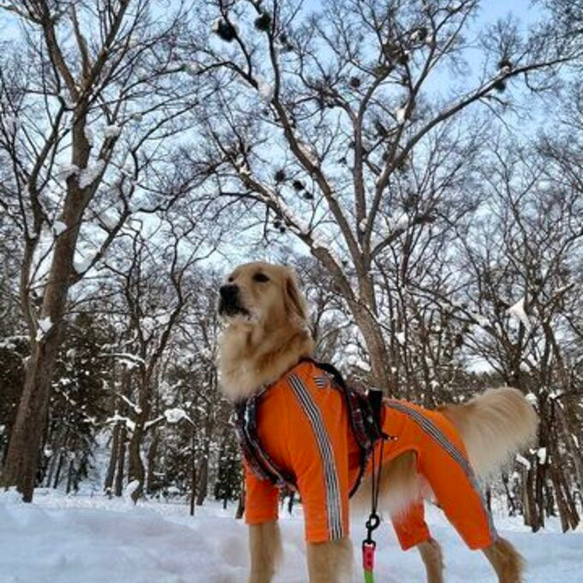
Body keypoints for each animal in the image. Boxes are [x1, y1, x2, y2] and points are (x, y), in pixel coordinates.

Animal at [218, 264, 540, 583]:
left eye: (261, 277)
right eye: (231, 277)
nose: (225, 290)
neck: (270, 380)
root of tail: (438, 412)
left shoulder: (323, 479)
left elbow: (321, 563)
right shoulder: (258, 485)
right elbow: (260, 561)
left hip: (456, 489)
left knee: (502, 553)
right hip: (405, 501)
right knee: (431, 548)